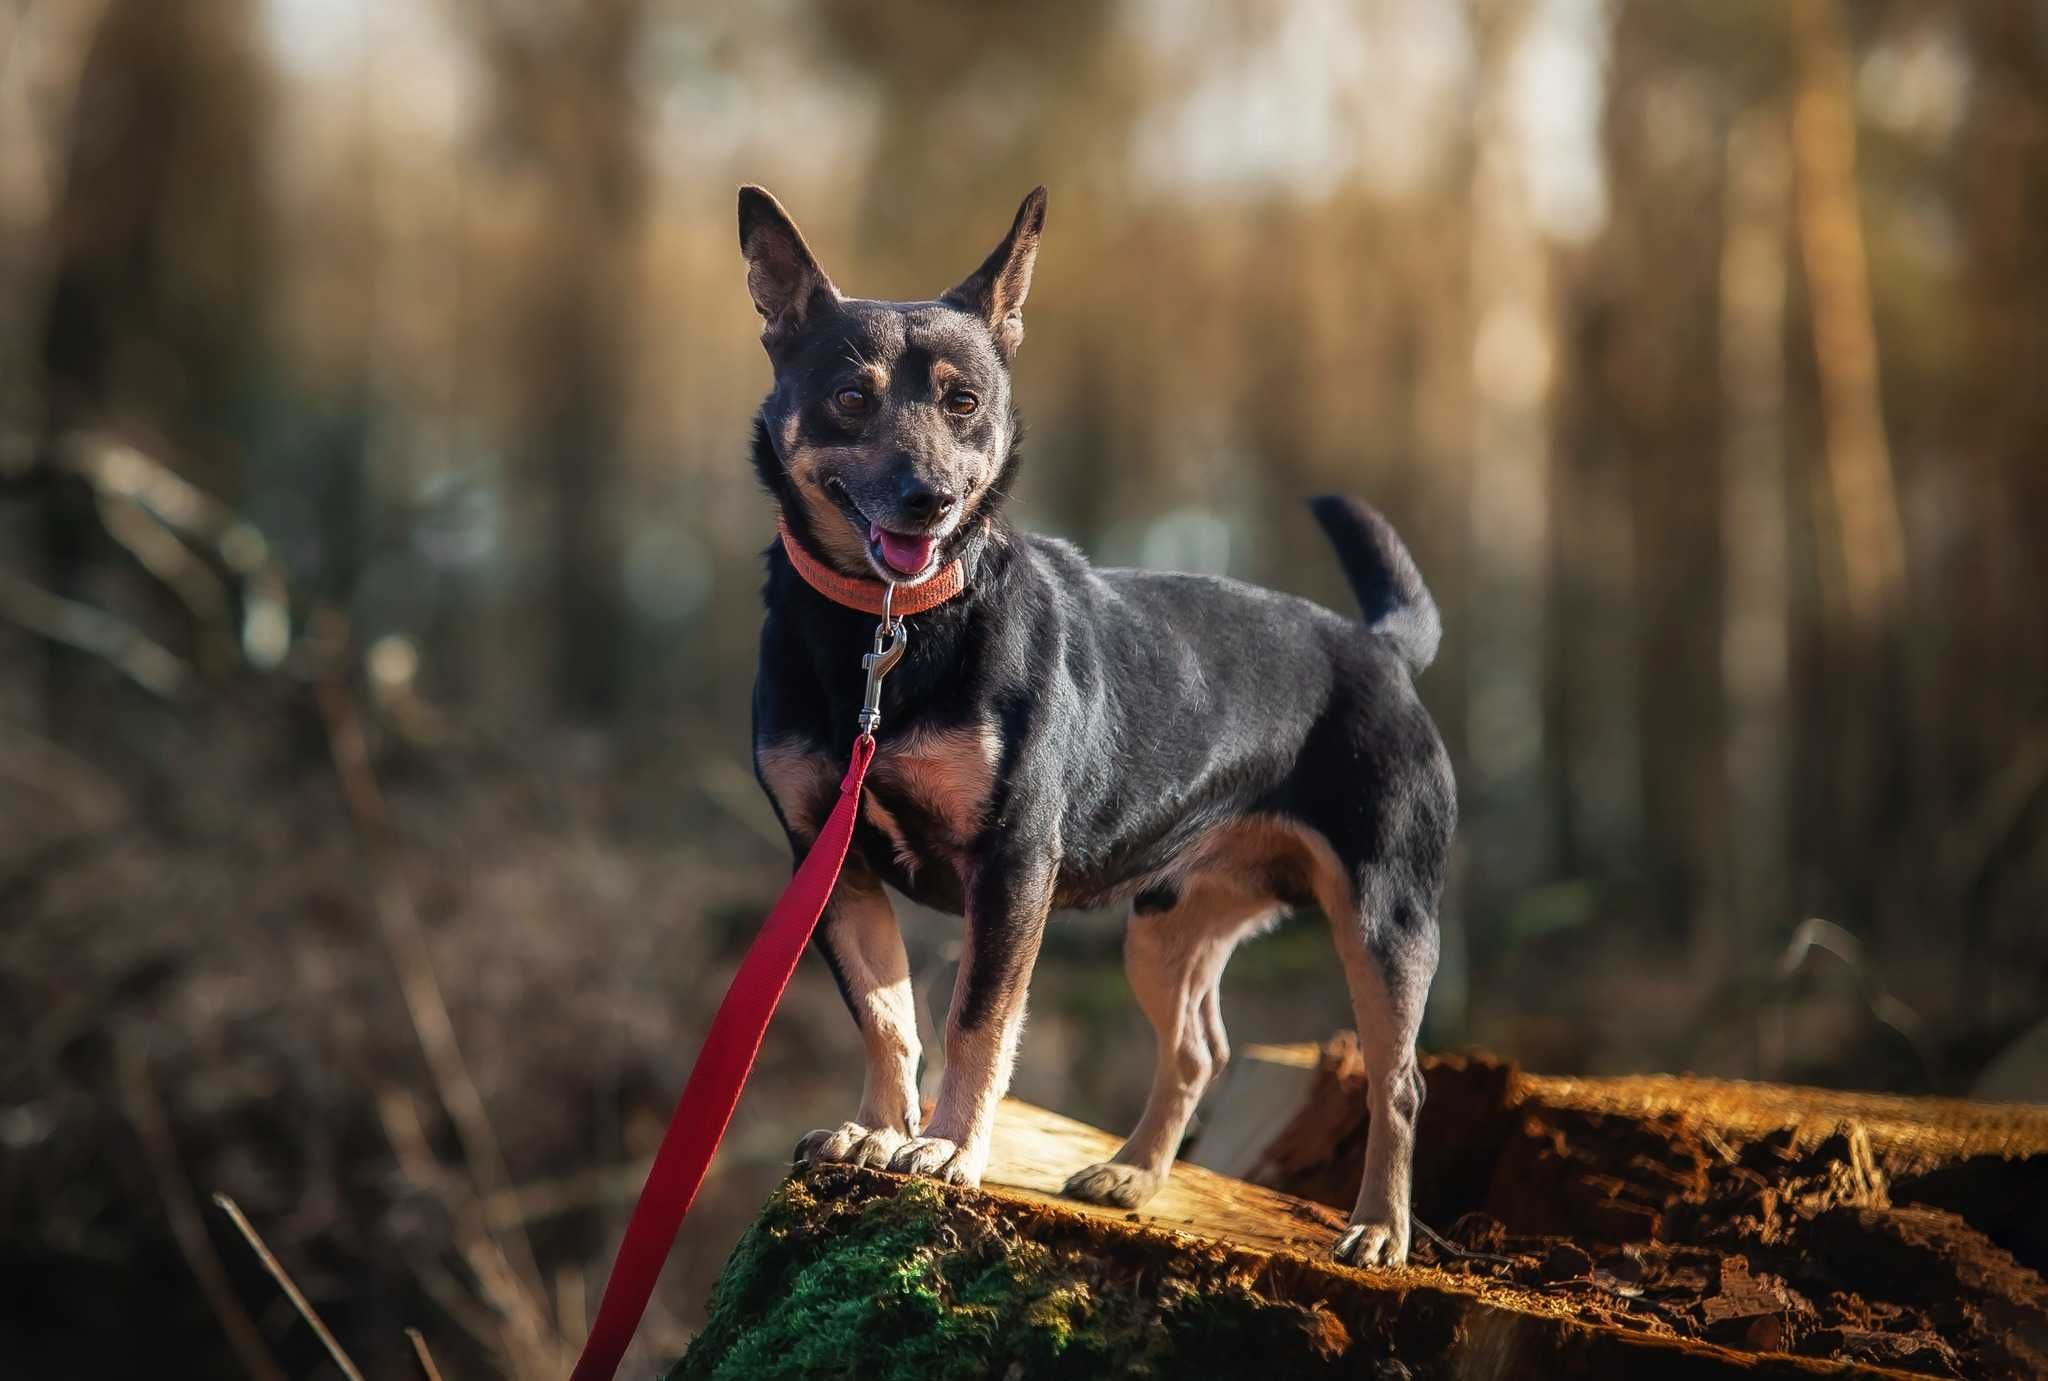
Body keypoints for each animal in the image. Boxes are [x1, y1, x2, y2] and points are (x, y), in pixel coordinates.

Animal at [741, 185, 1458, 1270]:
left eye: (964, 403)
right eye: (851, 399)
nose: (929, 499)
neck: (887, 628)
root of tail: (1379, 648)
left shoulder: (1012, 867)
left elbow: (975, 1022)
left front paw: (946, 1148)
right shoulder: (831, 863)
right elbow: (886, 1015)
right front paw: (875, 1128)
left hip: (1384, 920)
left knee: (1400, 1080)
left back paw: (1378, 1226)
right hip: (1166, 927)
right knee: (1198, 1048)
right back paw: (1132, 1174)